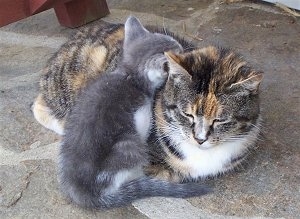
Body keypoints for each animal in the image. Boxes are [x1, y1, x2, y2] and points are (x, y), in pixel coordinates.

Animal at [58, 15, 209, 209]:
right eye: (176, 51)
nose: (183, 52)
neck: (129, 76)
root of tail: (82, 191)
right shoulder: (141, 118)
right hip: (130, 145)